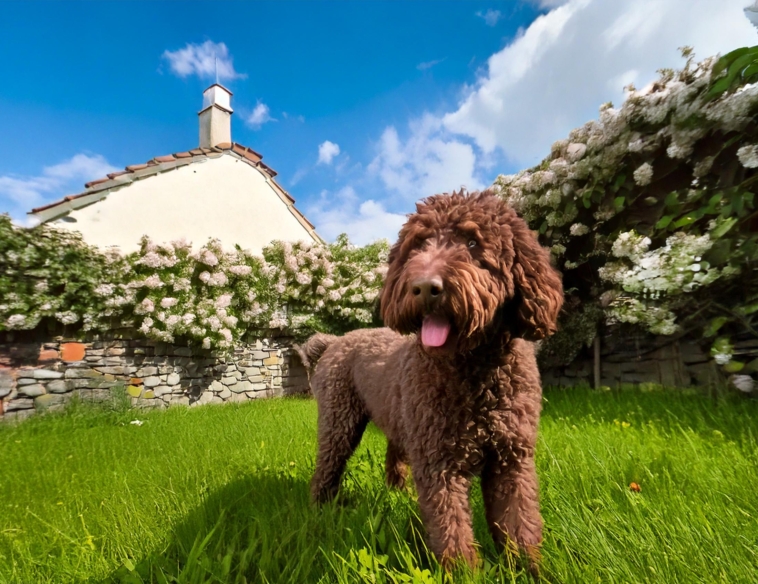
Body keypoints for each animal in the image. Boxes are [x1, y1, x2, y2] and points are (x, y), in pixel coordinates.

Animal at [296, 190, 564, 572]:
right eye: (419, 244)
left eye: (473, 242)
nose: (424, 287)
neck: (474, 370)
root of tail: (335, 341)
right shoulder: (439, 463)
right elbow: (451, 530)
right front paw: (465, 573)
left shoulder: (511, 458)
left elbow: (519, 523)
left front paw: (528, 569)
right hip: (339, 422)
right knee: (326, 468)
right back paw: (322, 510)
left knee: (394, 457)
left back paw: (398, 493)